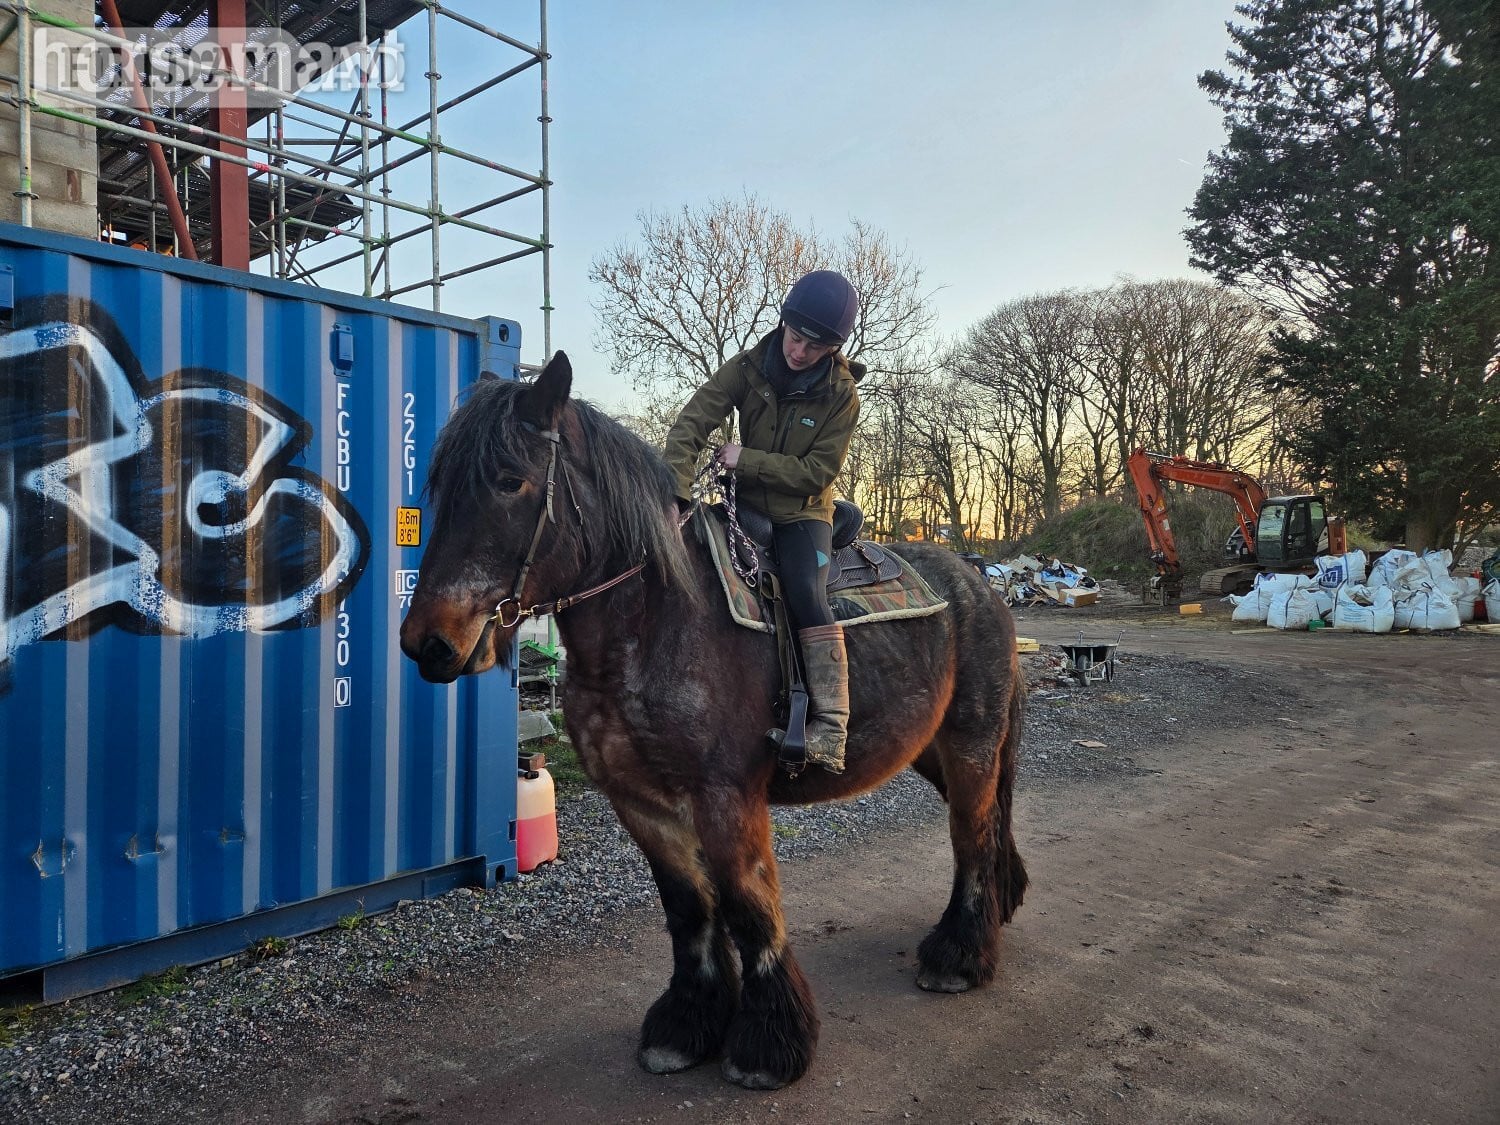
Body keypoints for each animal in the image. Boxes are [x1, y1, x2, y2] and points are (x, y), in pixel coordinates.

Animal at [400, 352, 1027, 1090]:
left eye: (508, 481)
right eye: (440, 485)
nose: (427, 643)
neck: (657, 619)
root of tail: (981, 584)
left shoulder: (726, 796)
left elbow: (748, 905)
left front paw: (768, 1043)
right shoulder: (639, 799)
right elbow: (689, 907)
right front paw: (687, 1023)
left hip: (972, 744)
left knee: (972, 835)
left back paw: (959, 954)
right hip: (928, 750)